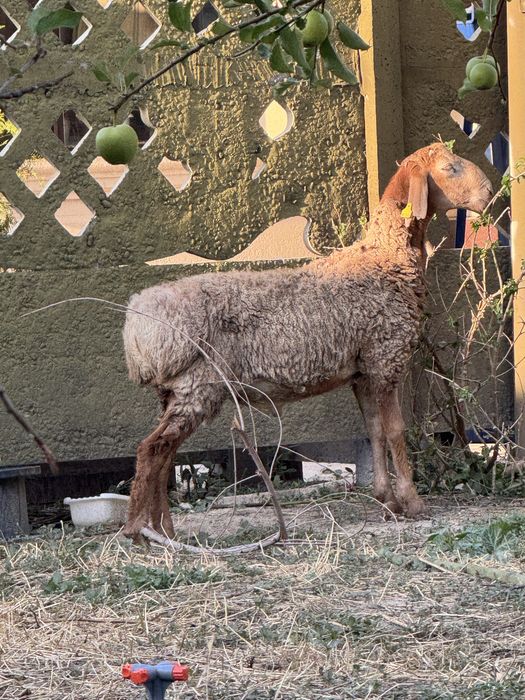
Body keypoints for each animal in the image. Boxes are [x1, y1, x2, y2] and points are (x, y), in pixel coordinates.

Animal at [122, 143, 493, 538]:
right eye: (449, 168)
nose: (488, 193)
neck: (385, 258)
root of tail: (138, 324)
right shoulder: (385, 359)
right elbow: (395, 431)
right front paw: (413, 502)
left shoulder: (363, 372)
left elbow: (375, 431)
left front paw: (385, 500)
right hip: (198, 385)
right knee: (151, 450)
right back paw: (137, 531)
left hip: (179, 390)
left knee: (164, 454)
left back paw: (164, 530)